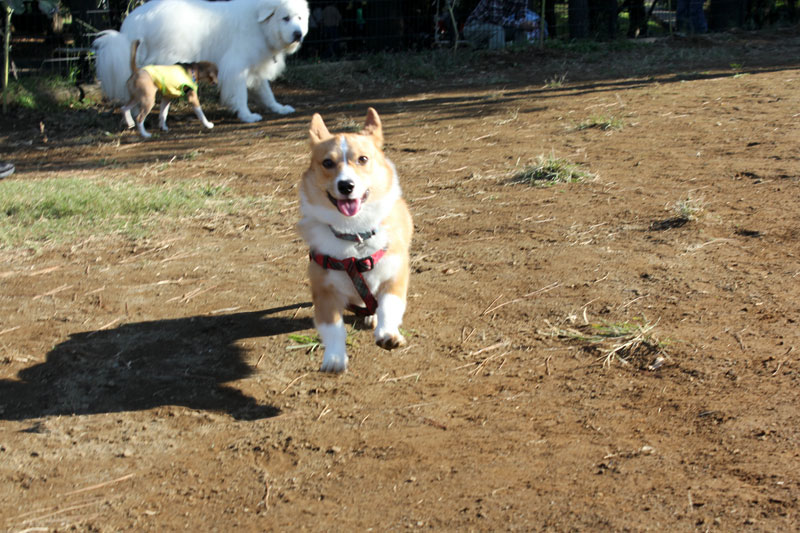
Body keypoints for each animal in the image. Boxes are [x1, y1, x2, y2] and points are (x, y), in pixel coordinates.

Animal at [92, 0, 308, 122]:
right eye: (285, 18)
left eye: (299, 18)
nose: (298, 34)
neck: (260, 24)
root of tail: (133, 21)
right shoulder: (236, 68)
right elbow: (241, 95)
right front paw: (247, 116)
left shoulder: (253, 68)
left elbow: (266, 93)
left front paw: (279, 108)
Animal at [298, 107, 416, 374]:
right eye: (327, 163)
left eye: (362, 159)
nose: (346, 185)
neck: (355, 233)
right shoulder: (324, 291)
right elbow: (332, 328)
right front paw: (334, 358)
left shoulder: (395, 275)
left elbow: (389, 306)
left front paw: (387, 333)